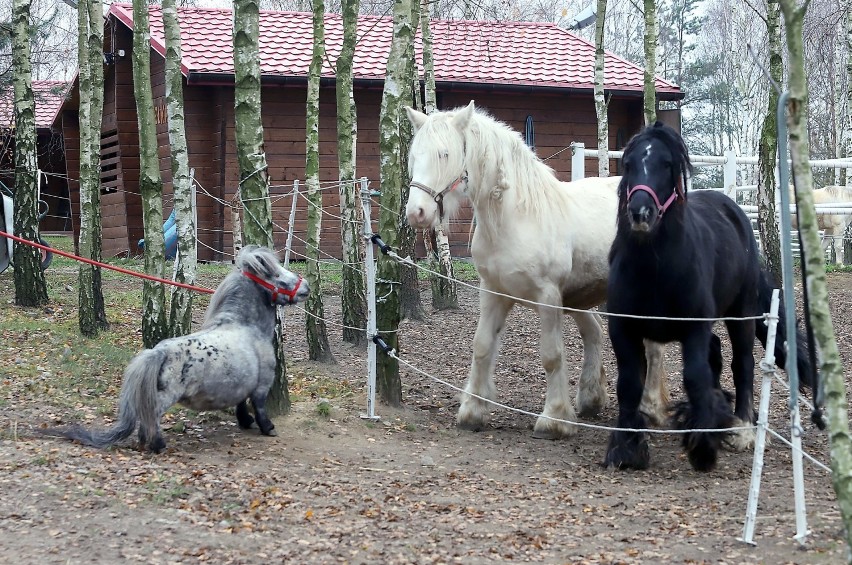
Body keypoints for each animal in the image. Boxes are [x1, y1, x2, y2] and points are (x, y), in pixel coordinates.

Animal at [402, 100, 668, 436]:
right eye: (414, 155)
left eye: (444, 154)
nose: (417, 213)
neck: (516, 218)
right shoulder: (493, 293)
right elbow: (482, 346)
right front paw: (473, 411)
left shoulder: (548, 296)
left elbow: (551, 356)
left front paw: (554, 418)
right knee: (594, 333)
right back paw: (592, 398)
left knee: (653, 348)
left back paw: (650, 408)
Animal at [604, 122, 812, 472]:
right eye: (629, 164)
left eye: (666, 164)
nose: (640, 212)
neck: (654, 268)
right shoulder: (623, 329)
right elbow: (629, 383)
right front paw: (626, 450)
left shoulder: (693, 328)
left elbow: (695, 376)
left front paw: (702, 448)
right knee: (716, 352)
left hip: (740, 316)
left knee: (743, 363)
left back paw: (743, 429)